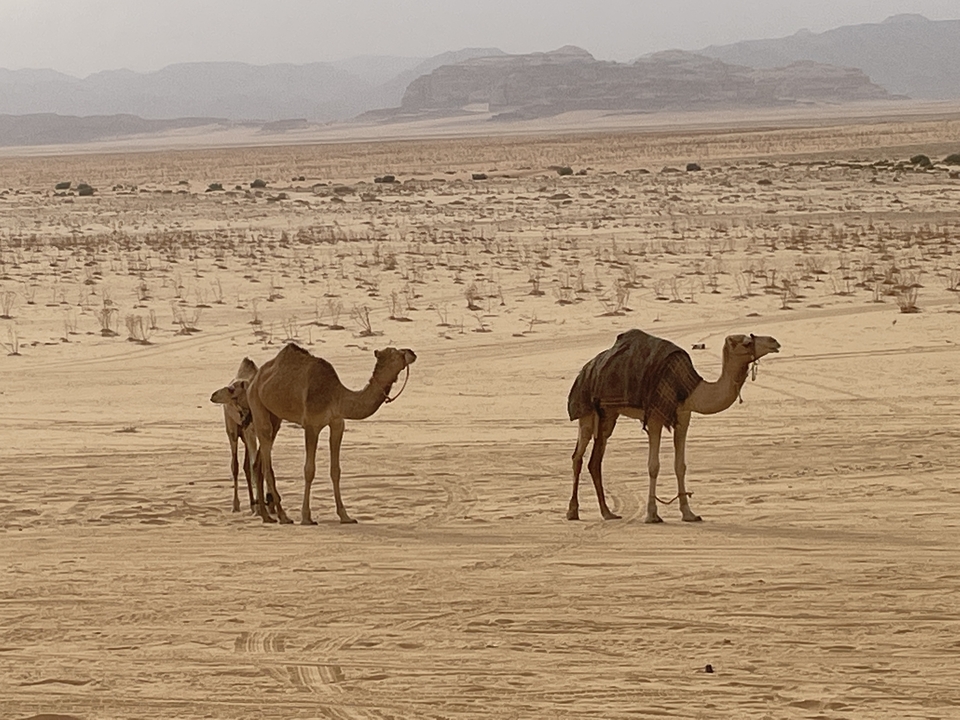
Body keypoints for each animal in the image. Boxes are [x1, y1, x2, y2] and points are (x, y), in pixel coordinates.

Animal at [209, 357, 259, 512]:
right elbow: (254, 465)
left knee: (246, 466)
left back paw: (253, 503)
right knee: (235, 465)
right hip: (232, 429)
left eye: (231, 389)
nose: (213, 395)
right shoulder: (249, 431)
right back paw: (236, 505)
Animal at [246, 343, 417, 525]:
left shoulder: (337, 424)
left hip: (275, 416)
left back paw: (266, 516)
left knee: (259, 463)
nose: (412, 352)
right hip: (256, 403)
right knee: (267, 462)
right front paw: (306, 517)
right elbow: (309, 470)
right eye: (393, 351)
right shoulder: (311, 425)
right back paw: (283, 516)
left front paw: (345, 516)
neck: (336, 396)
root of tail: (254, 380)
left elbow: (336, 470)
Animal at [567, 330, 780, 523]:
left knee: (595, 459)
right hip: (586, 410)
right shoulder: (654, 416)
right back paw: (573, 512)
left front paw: (689, 514)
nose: (774, 342)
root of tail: (586, 368)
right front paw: (652, 515)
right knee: (578, 455)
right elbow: (653, 465)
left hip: (609, 414)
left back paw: (607, 513)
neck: (688, 388)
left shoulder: (684, 416)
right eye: (746, 342)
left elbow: (680, 465)